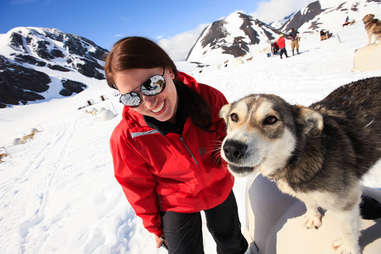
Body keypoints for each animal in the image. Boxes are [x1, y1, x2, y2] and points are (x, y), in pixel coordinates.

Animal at [218, 77, 380, 254]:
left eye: (271, 119)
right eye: (234, 117)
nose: (232, 148)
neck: (298, 155)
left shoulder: (346, 201)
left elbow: (348, 230)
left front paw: (349, 248)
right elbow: (308, 201)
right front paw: (313, 216)